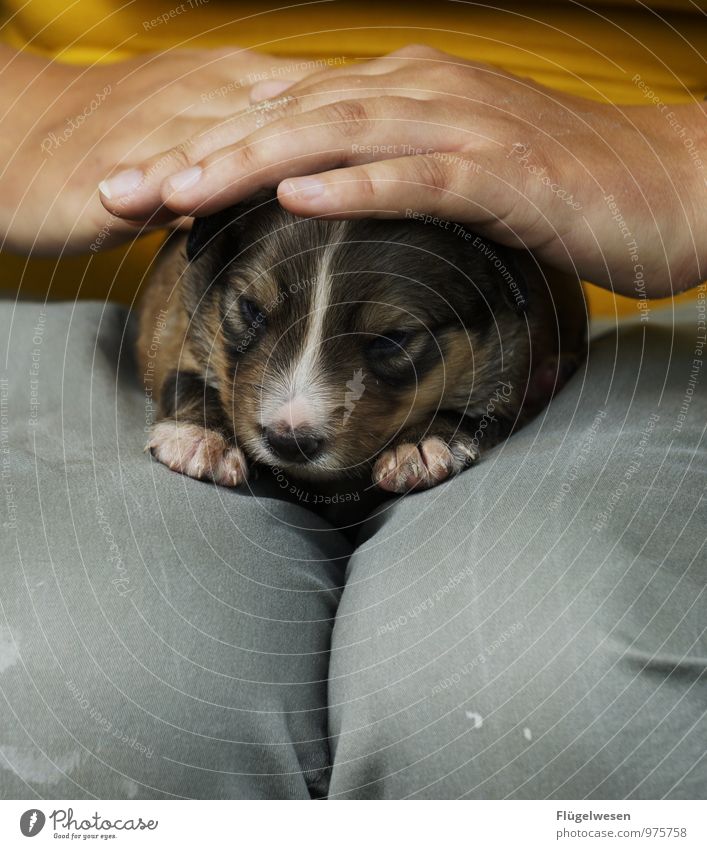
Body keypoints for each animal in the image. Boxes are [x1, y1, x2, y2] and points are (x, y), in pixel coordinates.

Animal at [138, 192, 588, 494]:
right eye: (251, 310)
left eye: (392, 339)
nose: (289, 442)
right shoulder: (178, 325)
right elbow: (183, 379)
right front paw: (199, 438)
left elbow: (482, 411)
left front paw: (421, 446)